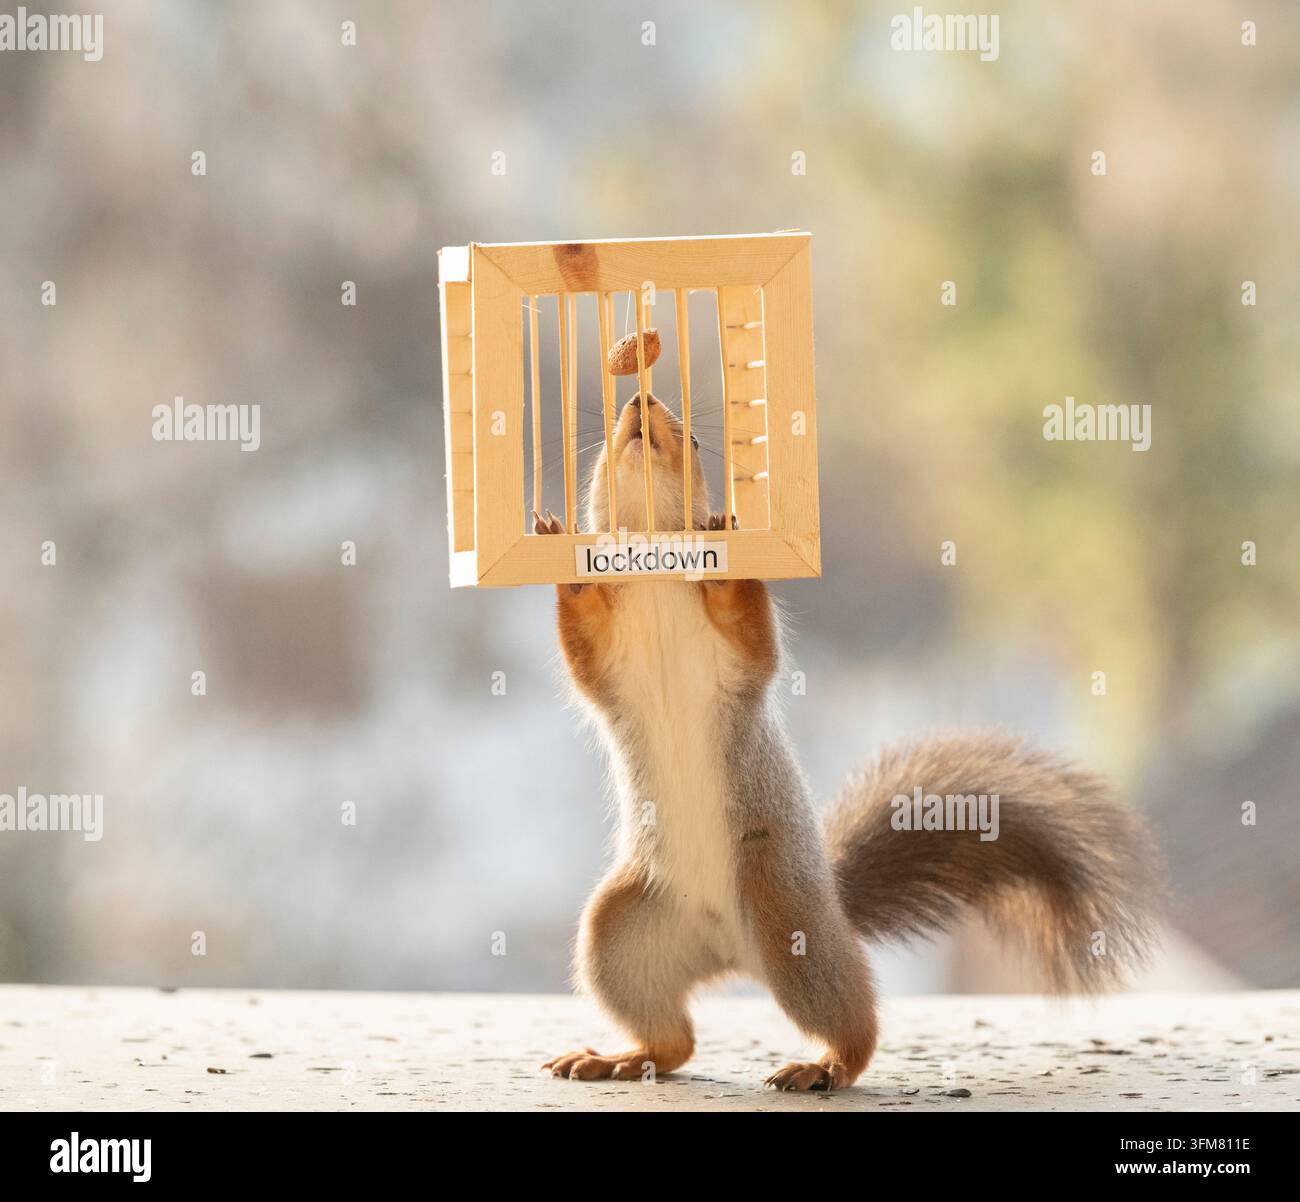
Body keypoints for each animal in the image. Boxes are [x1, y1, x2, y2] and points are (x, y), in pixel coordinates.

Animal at [533, 392, 1160, 1091]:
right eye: (611, 433)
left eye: (693, 439)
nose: (639, 401)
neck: (652, 568)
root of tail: (730, 952)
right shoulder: (609, 664)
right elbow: (585, 656)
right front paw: (561, 553)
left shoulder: (738, 665)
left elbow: (753, 639)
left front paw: (724, 539)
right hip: (620, 935)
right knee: (675, 1040)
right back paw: (618, 1057)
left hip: (785, 914)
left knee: (846, 1018)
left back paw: (824, 1064)